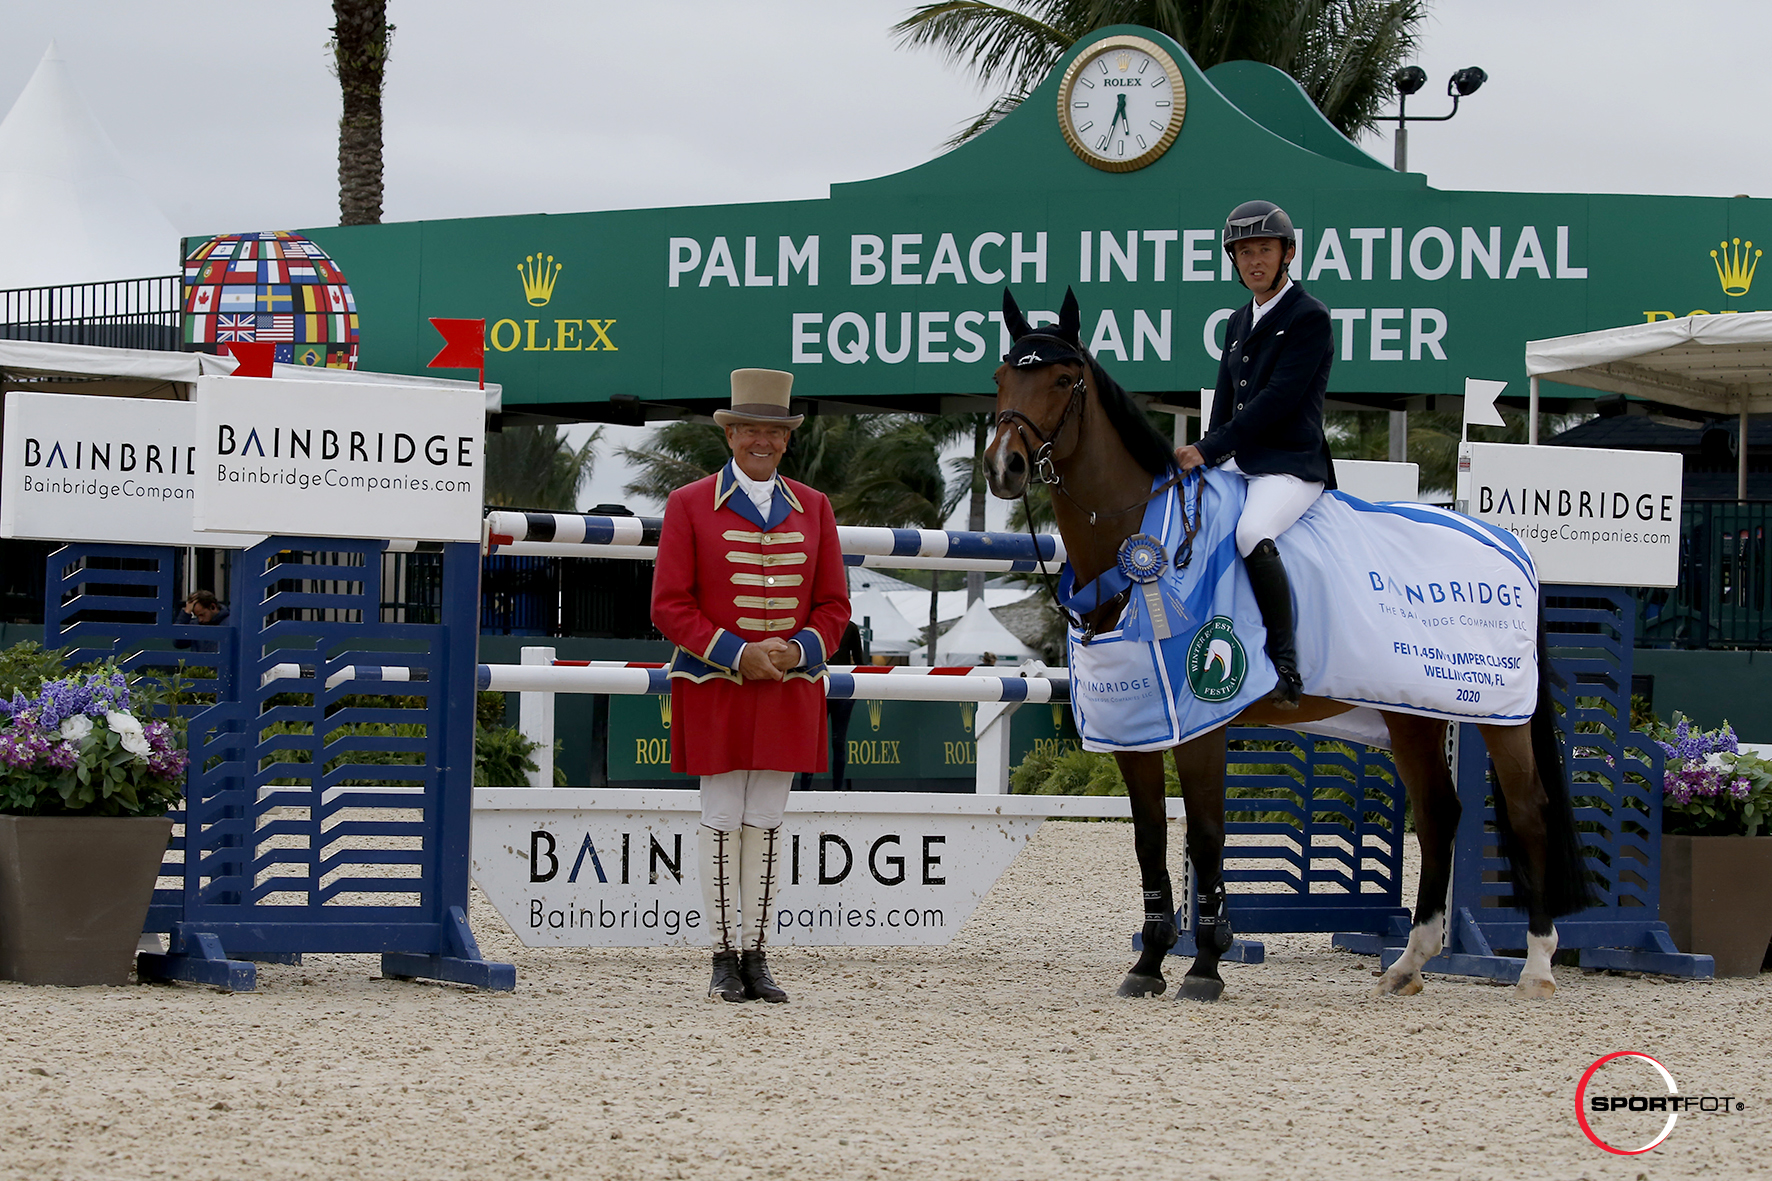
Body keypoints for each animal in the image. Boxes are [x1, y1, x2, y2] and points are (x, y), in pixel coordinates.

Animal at [985, 289, 1594, 1000]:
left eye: (1062, 379)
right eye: (1001, 377)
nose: (1004, 467)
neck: (1142, 539)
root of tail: (1512, 545)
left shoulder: (1201, 722)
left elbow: (1207, 834)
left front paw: (1206, 964)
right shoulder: (1134, 723)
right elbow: (1148, 837)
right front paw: (1149, 962)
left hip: (1499, 714)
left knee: (1528, 813)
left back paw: (1536, 967)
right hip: (1410, 713)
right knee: (1440, 812)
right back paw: (1408, 963)